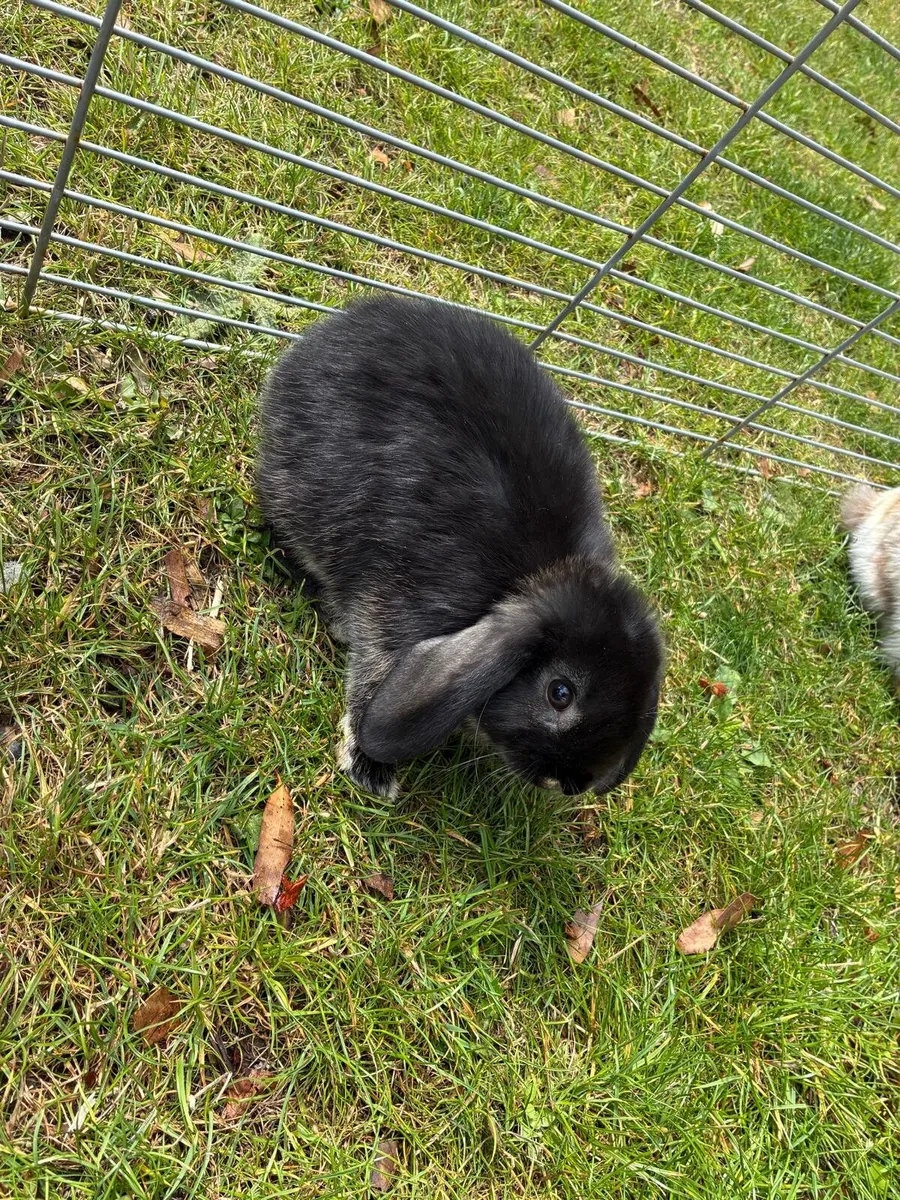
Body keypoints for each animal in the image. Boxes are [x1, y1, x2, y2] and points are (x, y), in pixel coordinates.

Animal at [257, 294, 663, 799]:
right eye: (560, 692)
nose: (569, 784)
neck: (525, 577)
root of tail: (324, 336)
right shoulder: (396, 607)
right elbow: (372, 675)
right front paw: (369, 768)